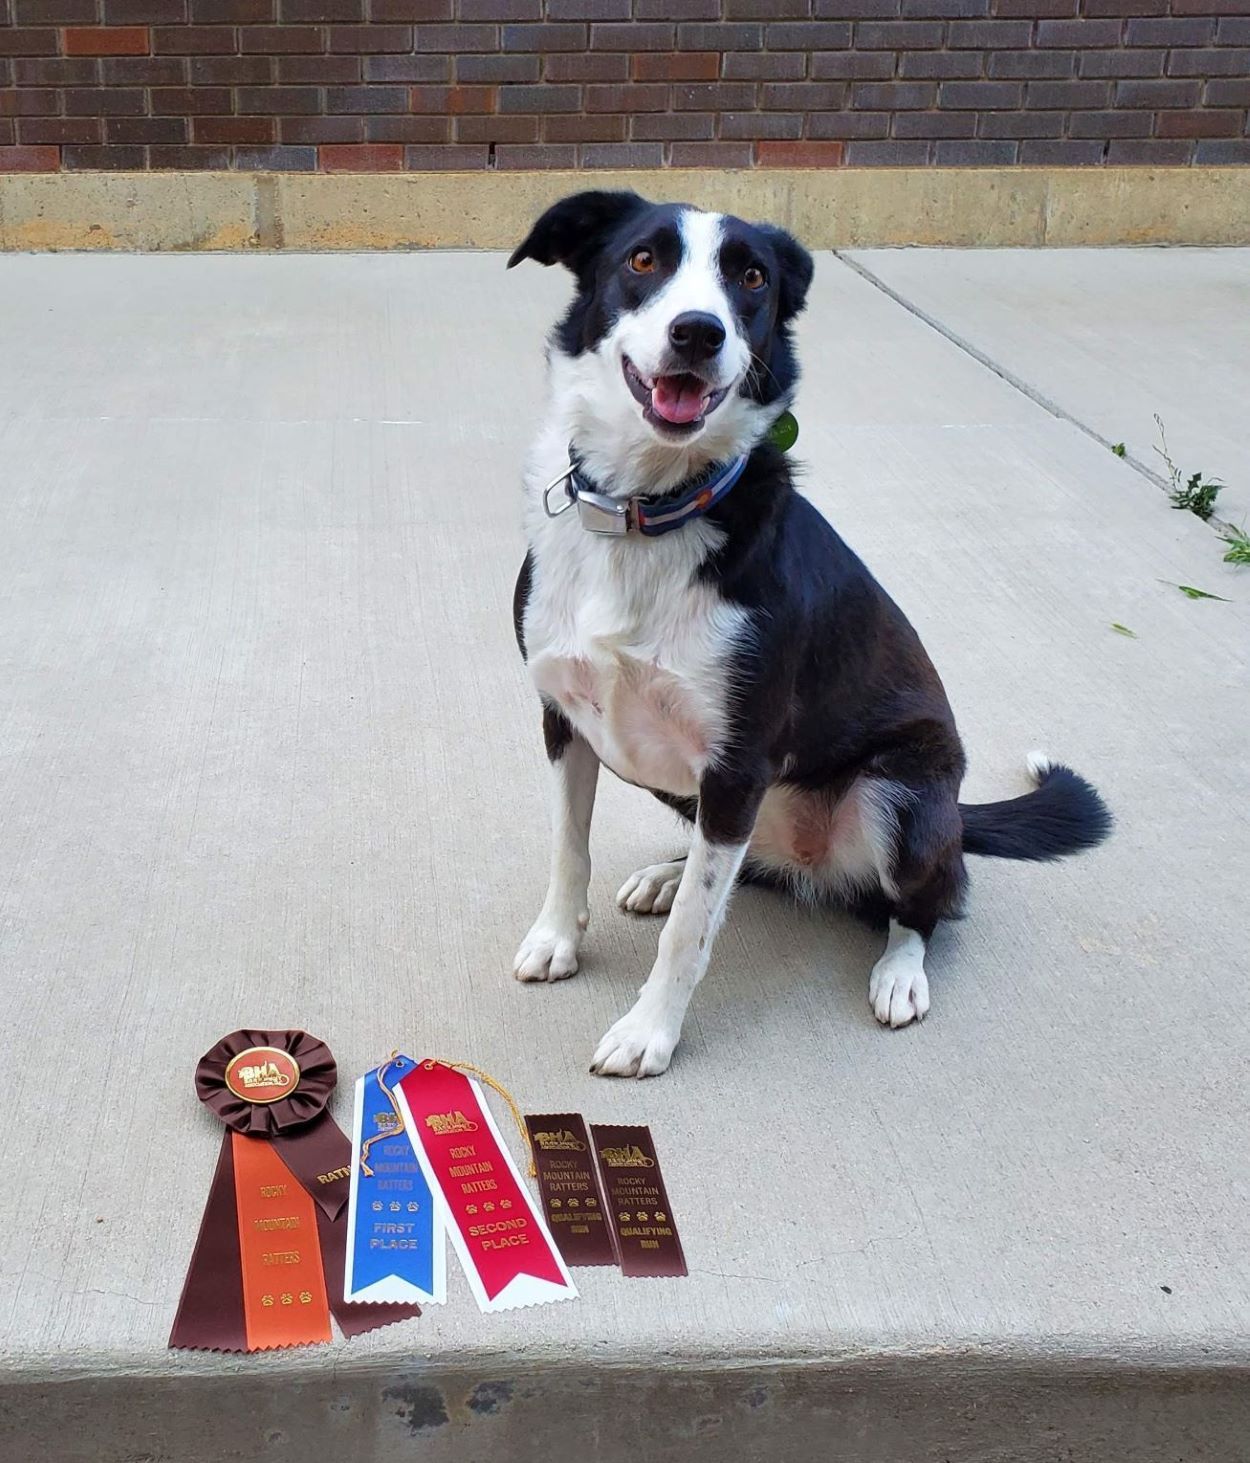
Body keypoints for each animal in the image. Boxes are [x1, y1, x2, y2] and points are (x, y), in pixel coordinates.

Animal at [503, 194, 1112, 1076]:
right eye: (643, 260)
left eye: (751, 278)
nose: (699, 332)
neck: (649, 513)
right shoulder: (567, 721)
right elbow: (568, 846)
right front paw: (556, 938)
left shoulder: (737, 761)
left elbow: (691, 935)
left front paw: (649, 1030)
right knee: (742, 868)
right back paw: (668, 873)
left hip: (898, 796)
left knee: (928, 903)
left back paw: (899, 972)